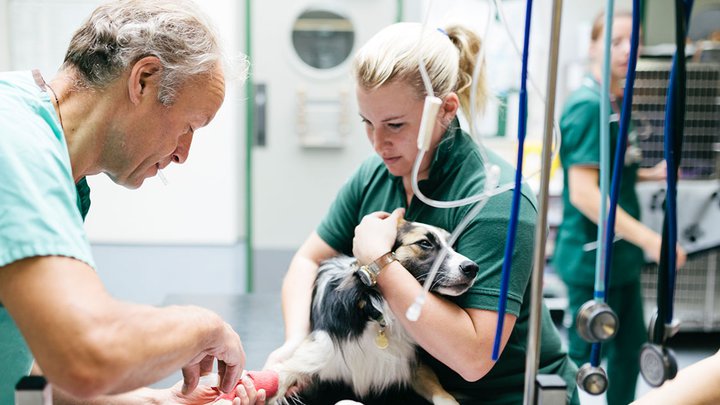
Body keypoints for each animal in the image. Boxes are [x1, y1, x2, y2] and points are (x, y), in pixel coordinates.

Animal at [268, 219, 478, 402]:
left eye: (454, 246)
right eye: (425, 243)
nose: (473, 268)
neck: (375, 311)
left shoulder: (412, 364)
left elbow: (443, 395)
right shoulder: (311, 356)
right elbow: (278, 382)